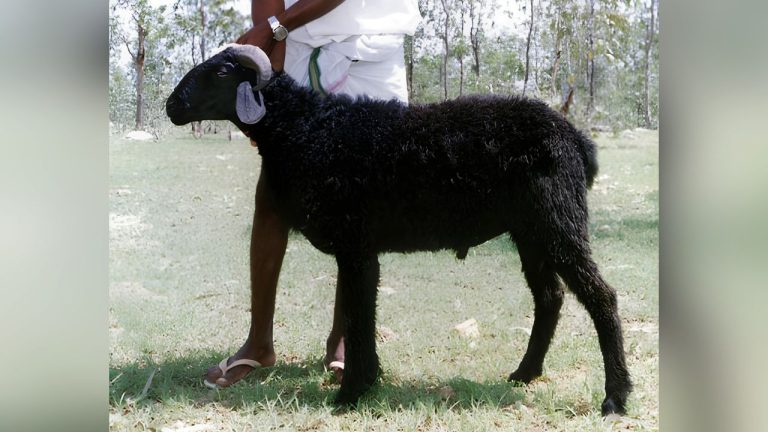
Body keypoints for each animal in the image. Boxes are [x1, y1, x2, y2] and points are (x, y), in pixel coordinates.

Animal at [165, 44, 632, 415]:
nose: (171, 106)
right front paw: (365, 382)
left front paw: (350, 393)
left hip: (558, 223)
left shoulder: (355, 246)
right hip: (531, 232)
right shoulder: (359, 249)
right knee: (550, 298)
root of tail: (577, 139)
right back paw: (525, 372)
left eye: (221, 73)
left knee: (601, 297)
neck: (308, 129)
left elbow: (357, 317)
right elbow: (359, 314)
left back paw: (615, 396)